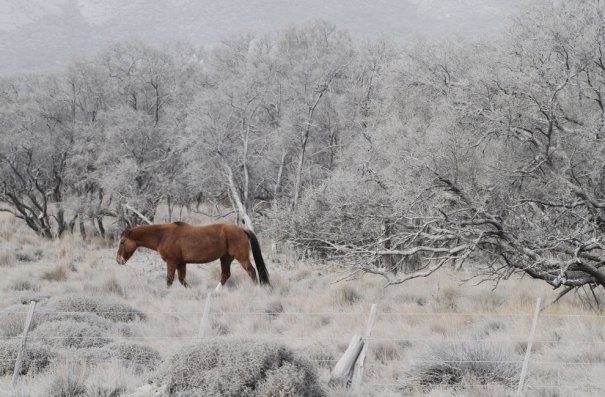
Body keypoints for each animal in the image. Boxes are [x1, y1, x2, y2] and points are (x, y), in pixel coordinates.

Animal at [115, 221, 268, 286]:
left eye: (122, 242)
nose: (118, 260)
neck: (163, 236)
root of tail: (242, 229)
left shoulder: (172, 262)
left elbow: (169, 280)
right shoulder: (181, 263)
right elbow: (182, 280)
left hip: (241, 258)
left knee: (252, 271)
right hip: (225, 258)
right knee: (225, 275)